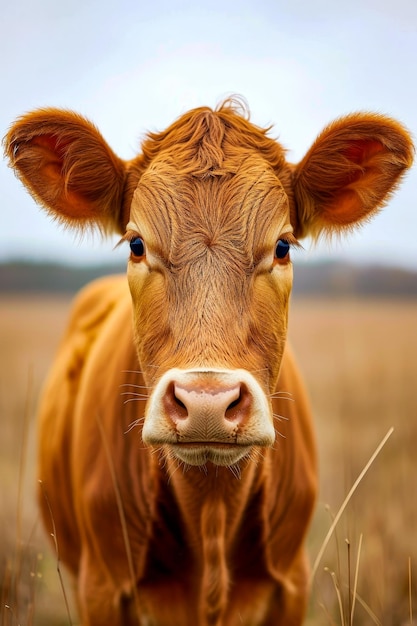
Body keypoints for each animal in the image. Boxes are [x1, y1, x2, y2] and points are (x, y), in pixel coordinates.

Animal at [4, 100, 412, 620]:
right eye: (137, 244)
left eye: (282, 246)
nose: (206, 404)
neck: (212, 508)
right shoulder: (99, 585)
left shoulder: (292, 582)